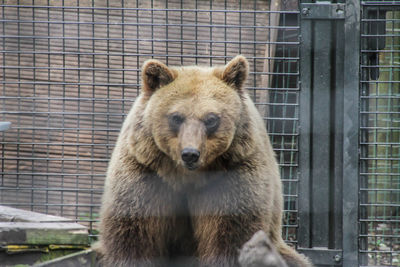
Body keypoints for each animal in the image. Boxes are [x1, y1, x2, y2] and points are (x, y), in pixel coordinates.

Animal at [95, 55, 310, 267]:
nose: (190, 153)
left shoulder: (233, 176)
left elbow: (231, 235)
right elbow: (134, 236)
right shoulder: (145, 173)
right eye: (176, 117)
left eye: (211, 119)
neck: (186, 177)